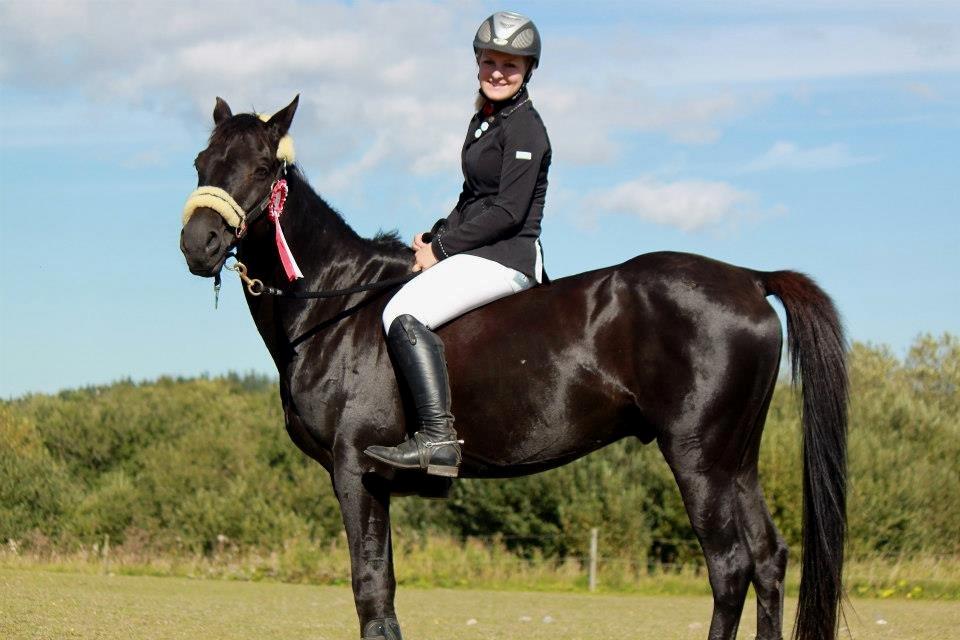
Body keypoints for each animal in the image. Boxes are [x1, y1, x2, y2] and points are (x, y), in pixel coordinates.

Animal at [180, 96, 848, 640]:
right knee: (768, 559)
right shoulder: (374, 483)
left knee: (730, 566)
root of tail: (749, 279)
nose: (198, 245)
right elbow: (384, 589)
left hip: (698, 457)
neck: (338, 306)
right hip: (736, 459)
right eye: (200, 162)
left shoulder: (353, 470)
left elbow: (369, 588)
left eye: (262, 169)